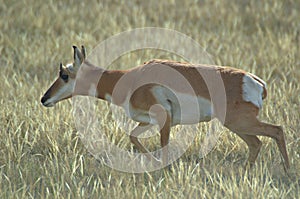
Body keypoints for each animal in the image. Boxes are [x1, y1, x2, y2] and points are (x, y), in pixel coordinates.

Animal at [41, 45, 290, 171]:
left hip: (240, 123)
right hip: (237, 125)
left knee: (277, 130)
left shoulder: (164, 120)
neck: (130, 78)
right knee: (256, 143)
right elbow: (133, 137)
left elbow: (165, 147)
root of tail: (255, 81)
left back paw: (288, 172)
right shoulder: (145, 121)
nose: (44, 99)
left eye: (64, 74)